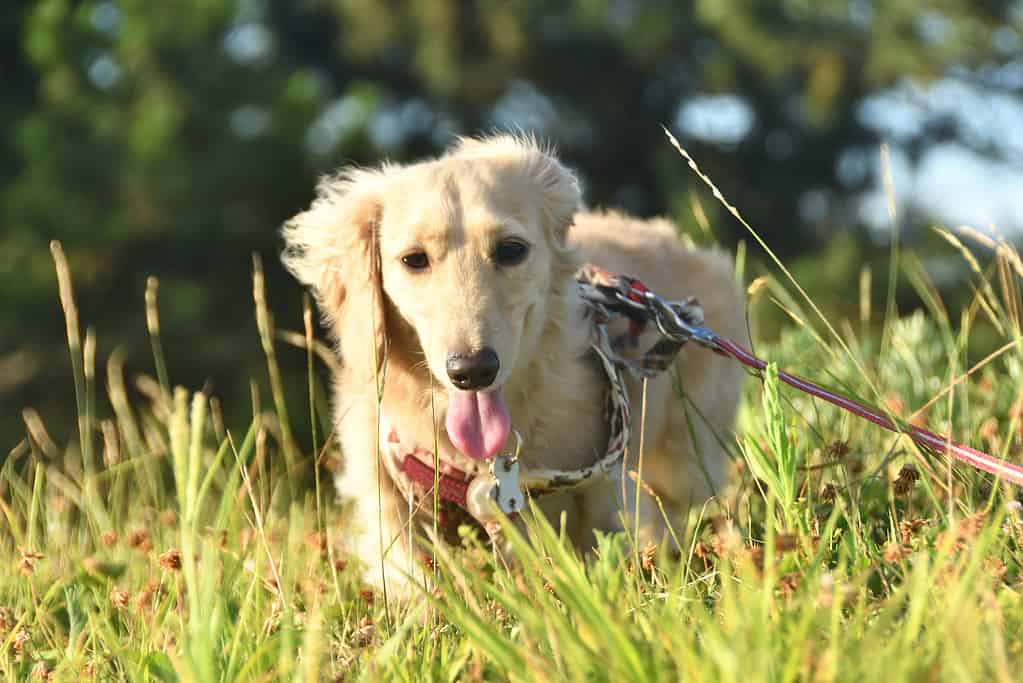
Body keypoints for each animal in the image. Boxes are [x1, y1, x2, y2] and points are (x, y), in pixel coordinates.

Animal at [284, 134, 748, 588]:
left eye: (511, 250)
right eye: (414, 259)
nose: (472, 370)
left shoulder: (606, 486)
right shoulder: (389, 505)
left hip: (686, 459)